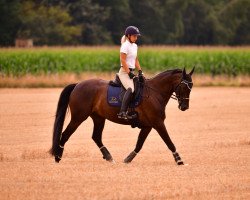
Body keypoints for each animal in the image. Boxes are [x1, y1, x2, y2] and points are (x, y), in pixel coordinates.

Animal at [49, 68, 194, 165]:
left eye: (191, 87)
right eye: (184, 87)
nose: (184, 107)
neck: (155, 92)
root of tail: (78, 84)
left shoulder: (148, 126)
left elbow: (139, 144)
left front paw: (128, 159)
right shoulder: (158, 123)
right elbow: (169, 141)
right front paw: (179, 160)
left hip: (98, 118)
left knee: (96, 137)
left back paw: (109, 157)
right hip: (78, 117)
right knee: (65, 134)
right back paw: (58, 157)